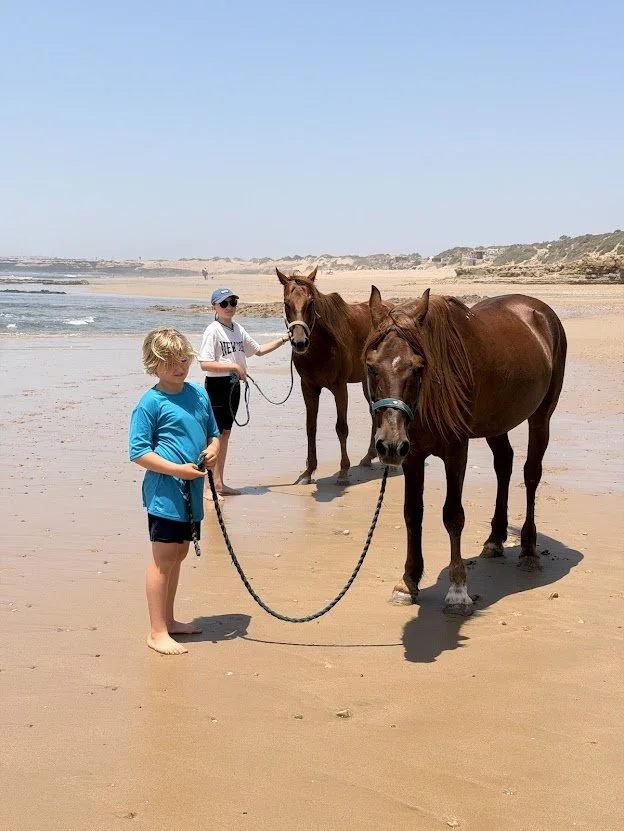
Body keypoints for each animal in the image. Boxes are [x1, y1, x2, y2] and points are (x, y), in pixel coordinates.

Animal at [276, 266, 378, 485]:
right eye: (286, 303)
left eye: (311, 302)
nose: (300, 343)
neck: (322, 346)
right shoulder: (308, 387)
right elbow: (310, 427)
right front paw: (308, 472)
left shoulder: (340, 387)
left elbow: (341, 427)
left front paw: (343, 471)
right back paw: (369, 456)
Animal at [363, 287, 567, 615]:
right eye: (371, 367)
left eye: (418, 367)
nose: (389, 445)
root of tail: (538, 309)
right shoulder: (413, 456)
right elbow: (412, 514)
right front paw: (408, 582)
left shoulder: (456, 452)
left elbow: (453, 515)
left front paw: (458, 591)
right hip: (497, 423)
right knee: (504, 465)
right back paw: (495, 539)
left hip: (541, 417)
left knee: (531, 474)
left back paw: (528, 549)